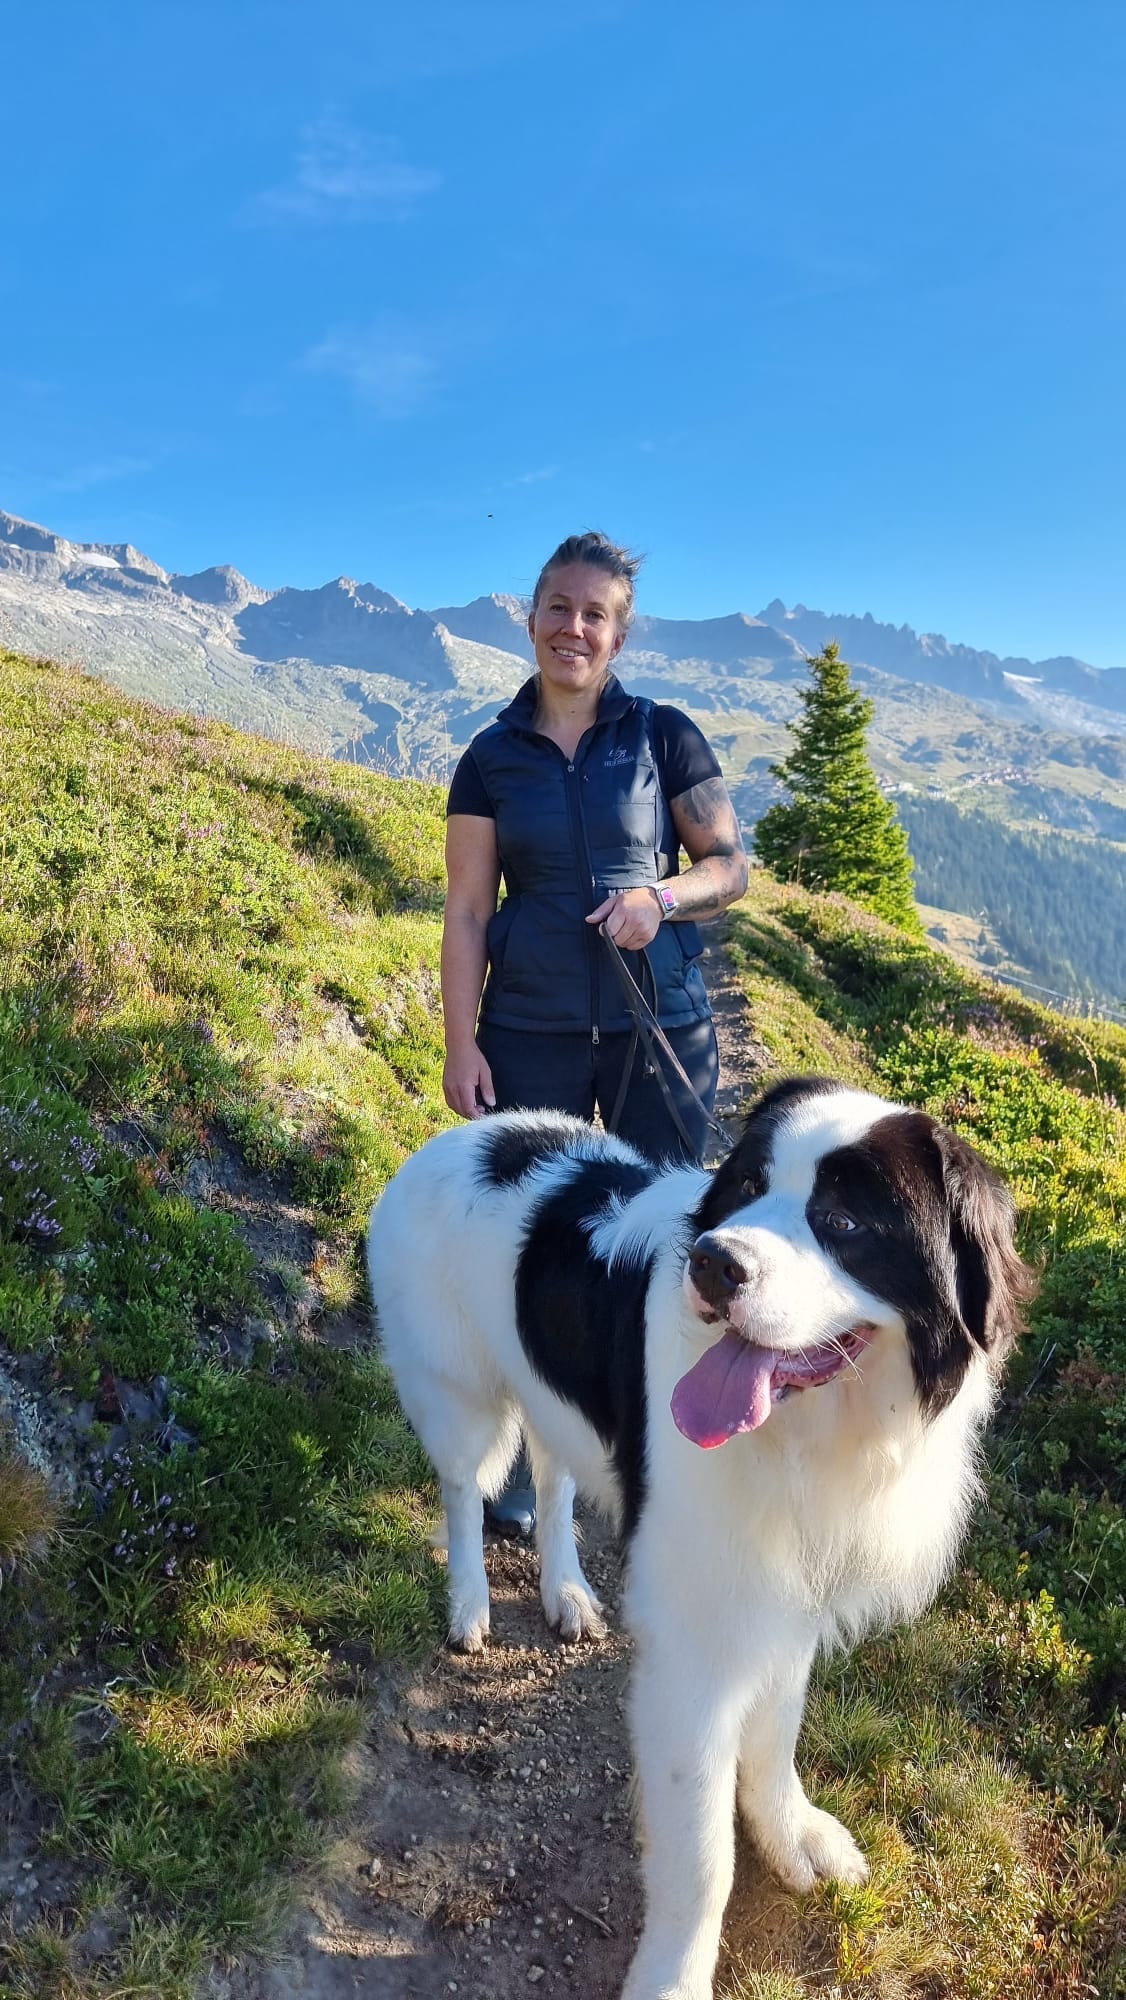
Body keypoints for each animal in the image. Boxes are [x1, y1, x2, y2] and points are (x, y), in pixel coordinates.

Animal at [366, 1076, 1031, 2000]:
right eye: (746, 1185)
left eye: (845, 1222)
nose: (714, 1262)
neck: (808, 1441)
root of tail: (464, 1135)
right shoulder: (697, 1644)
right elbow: (702, 1853)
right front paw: (673, 1977)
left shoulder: (785, 1593)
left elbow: (779, 1729)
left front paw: (791, 1833)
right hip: (455, 1387)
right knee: (466, 1488)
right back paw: (470, 1605)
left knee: (554, 1475)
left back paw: (565, 1591)